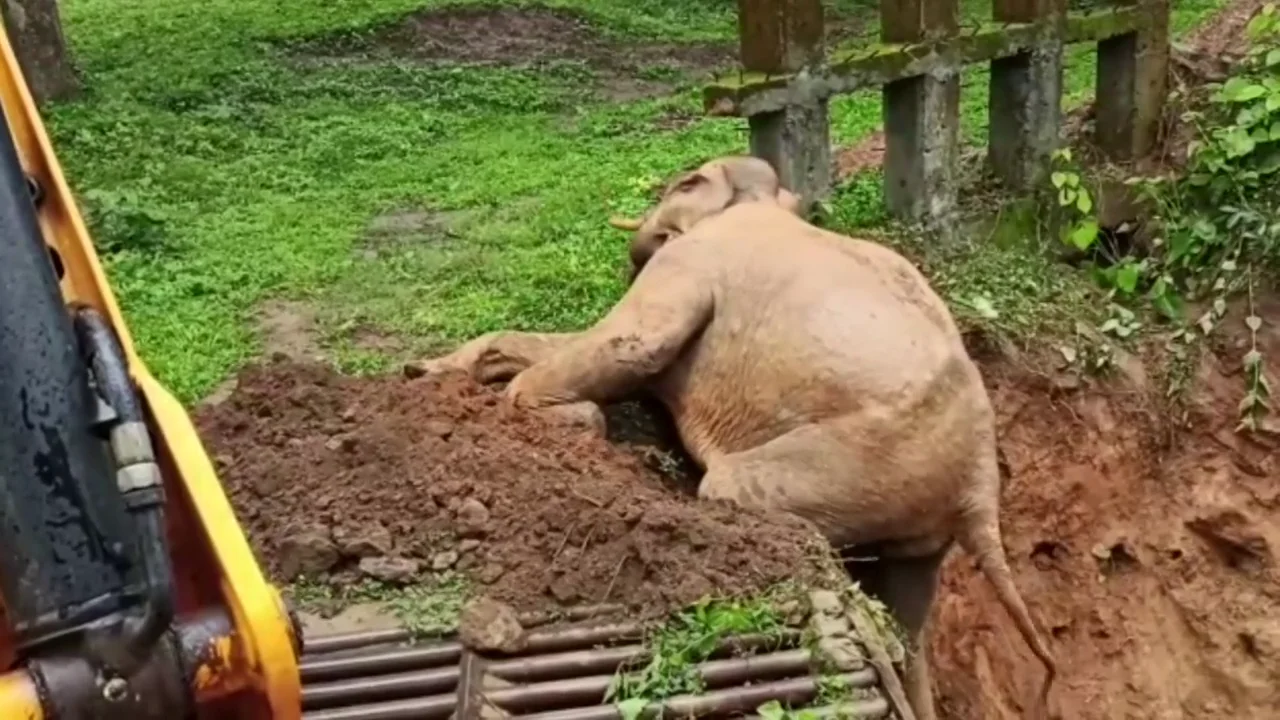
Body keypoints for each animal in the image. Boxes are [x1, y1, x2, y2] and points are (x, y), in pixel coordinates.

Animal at [412, 155, 1056, 720]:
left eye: (681, 182)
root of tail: (981, 483)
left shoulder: (689, 263)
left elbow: (634, 341)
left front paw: (550, 414)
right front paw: (423, 373)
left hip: (863, 462)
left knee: (731, 489)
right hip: (920, 529)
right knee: (909, 623)